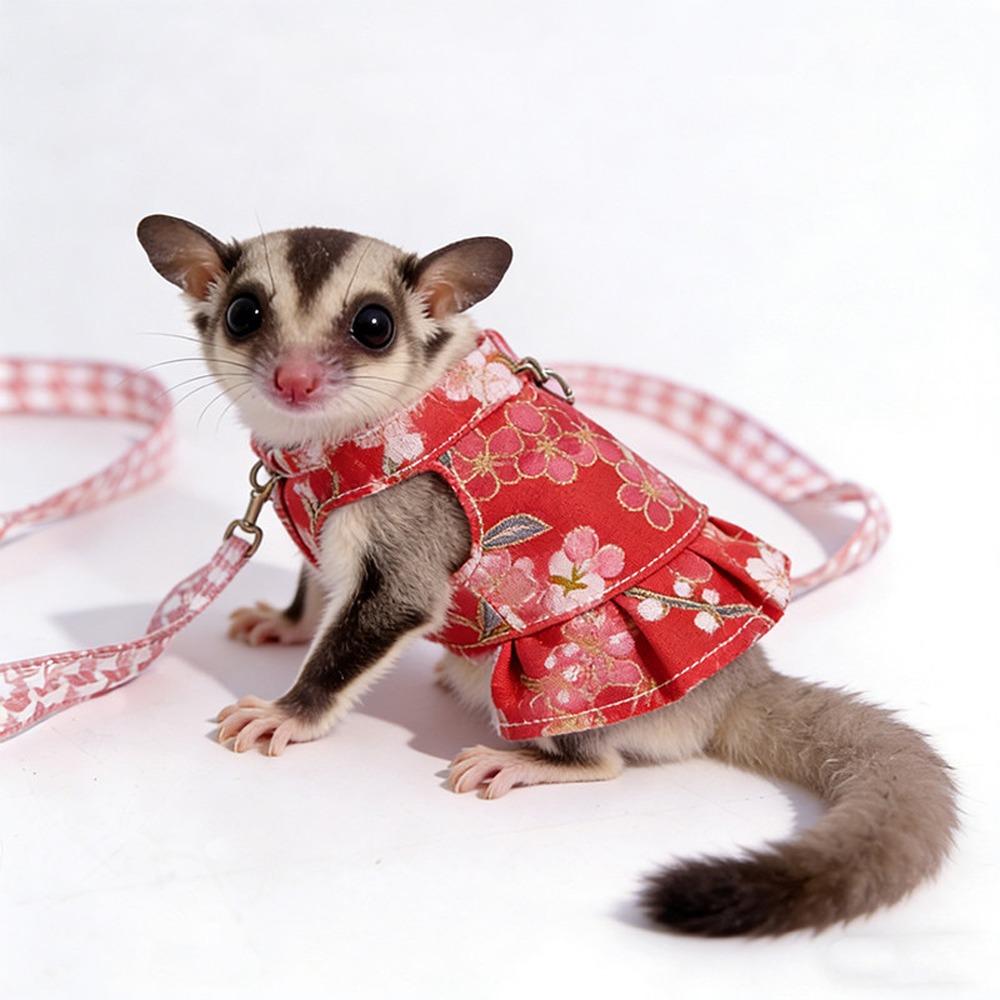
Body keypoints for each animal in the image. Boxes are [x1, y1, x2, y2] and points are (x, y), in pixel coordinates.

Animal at [137, 215, 957, 937]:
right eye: (243, 313)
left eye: (373, 325)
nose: (296, 379)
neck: (321, 452)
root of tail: (737, 684)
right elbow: (320, 587)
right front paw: (281, 622)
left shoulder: (412, 520)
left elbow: (391, 609)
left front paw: (289, 712)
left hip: (584, 671)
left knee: (603, 761)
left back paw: (529, 762)